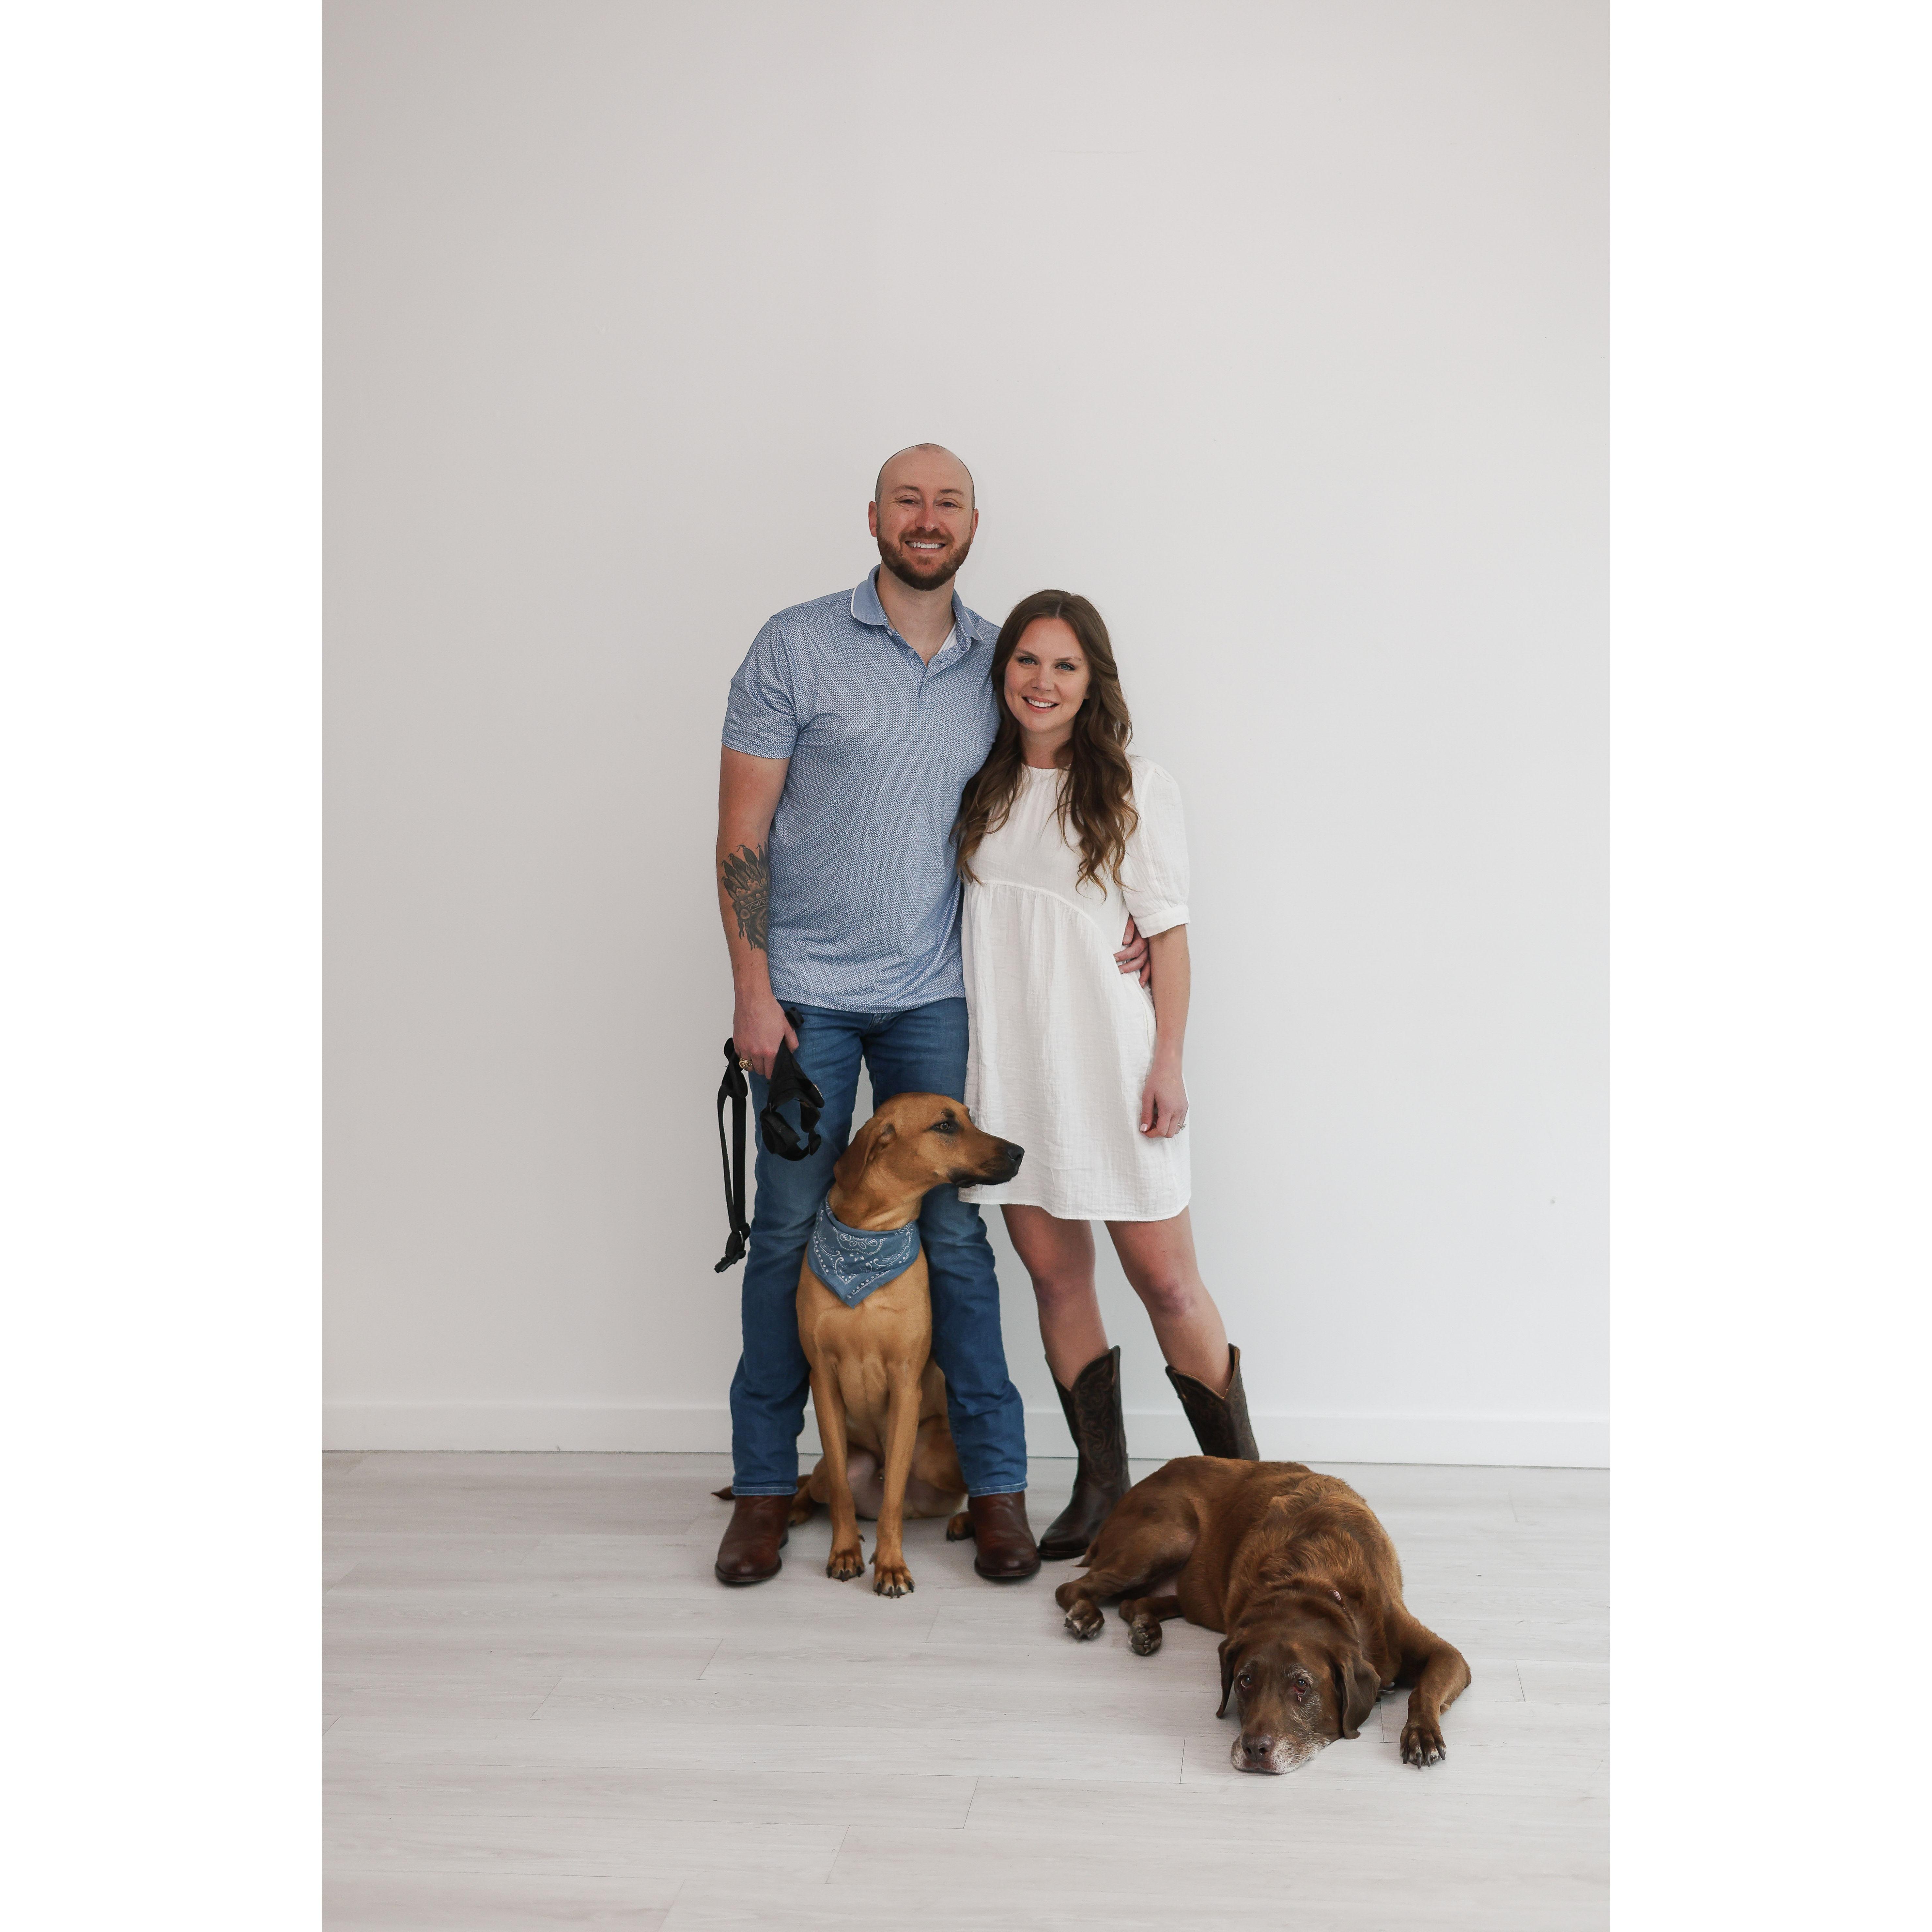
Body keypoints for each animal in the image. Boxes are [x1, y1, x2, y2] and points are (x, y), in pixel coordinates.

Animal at [785, 1092, 1022, 1596]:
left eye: (969, 1117)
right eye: (945, 1126)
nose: (1019, 1152)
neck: (868, 1243)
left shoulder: (905, 1384)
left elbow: (893, 1492)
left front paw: (891, 1564)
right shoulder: (823, 1382)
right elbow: (841, 1490)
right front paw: (844, 1551)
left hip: (931, 1449)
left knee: (950, 1491)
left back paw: (966, 1523)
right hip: (843, 1462)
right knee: (817, 1484)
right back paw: (797, 1509)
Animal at [1055, 1456, 1470, 1771]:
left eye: (1302, 1684)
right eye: (1244, 1680)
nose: (1254, 1748)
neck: (1311, 1583)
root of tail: (1141, 1482)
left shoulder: (1446, 1654)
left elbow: (1423, 1690)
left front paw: (1421, 1734)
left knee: (1133, 1601)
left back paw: (1145, 1628)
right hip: (1166, 1536)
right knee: (1071, 1588)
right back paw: (1086, 1615)